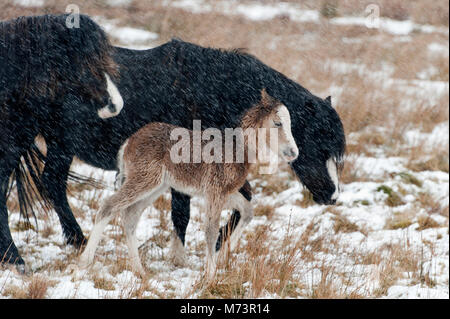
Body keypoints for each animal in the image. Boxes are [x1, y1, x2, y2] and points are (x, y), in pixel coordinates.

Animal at [80, 90, 298, 280]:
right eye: (278, 123)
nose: (293, 153)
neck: (237, 149)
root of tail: (129, 142)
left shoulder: (224, 193)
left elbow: (247, 212)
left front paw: (223, 257)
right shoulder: (215, 192)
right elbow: (210, 230)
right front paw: (210, 277)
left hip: (155, 187)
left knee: (130, 216)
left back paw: (139, 270)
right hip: (144, 180)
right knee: (109, 206)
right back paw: (85, 262)